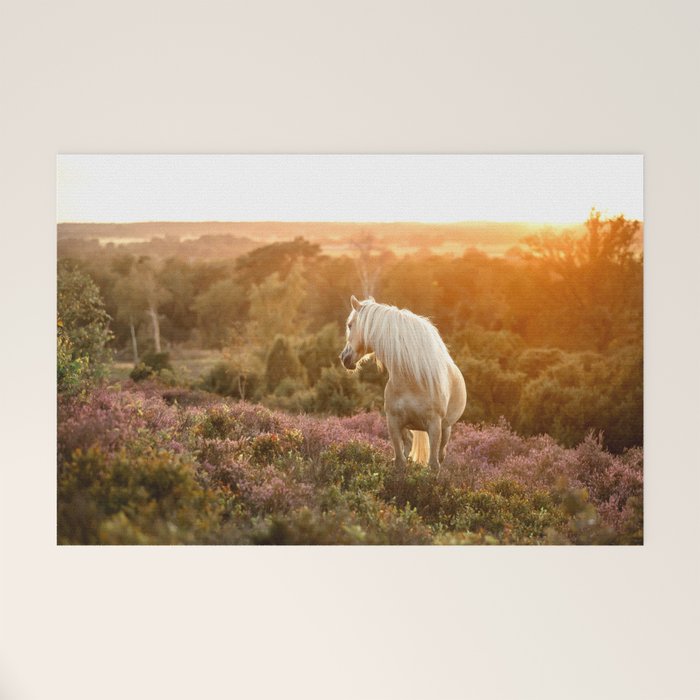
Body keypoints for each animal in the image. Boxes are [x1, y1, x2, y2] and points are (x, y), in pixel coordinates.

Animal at [339, 295, 467, 470]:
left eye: (350, 325)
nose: (344, 358)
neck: (412, 380)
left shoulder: (434, 426)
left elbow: (434, 464)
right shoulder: (393, 423)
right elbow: (399, 461)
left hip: (446, 428)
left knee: (441, 453)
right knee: (408, 444)